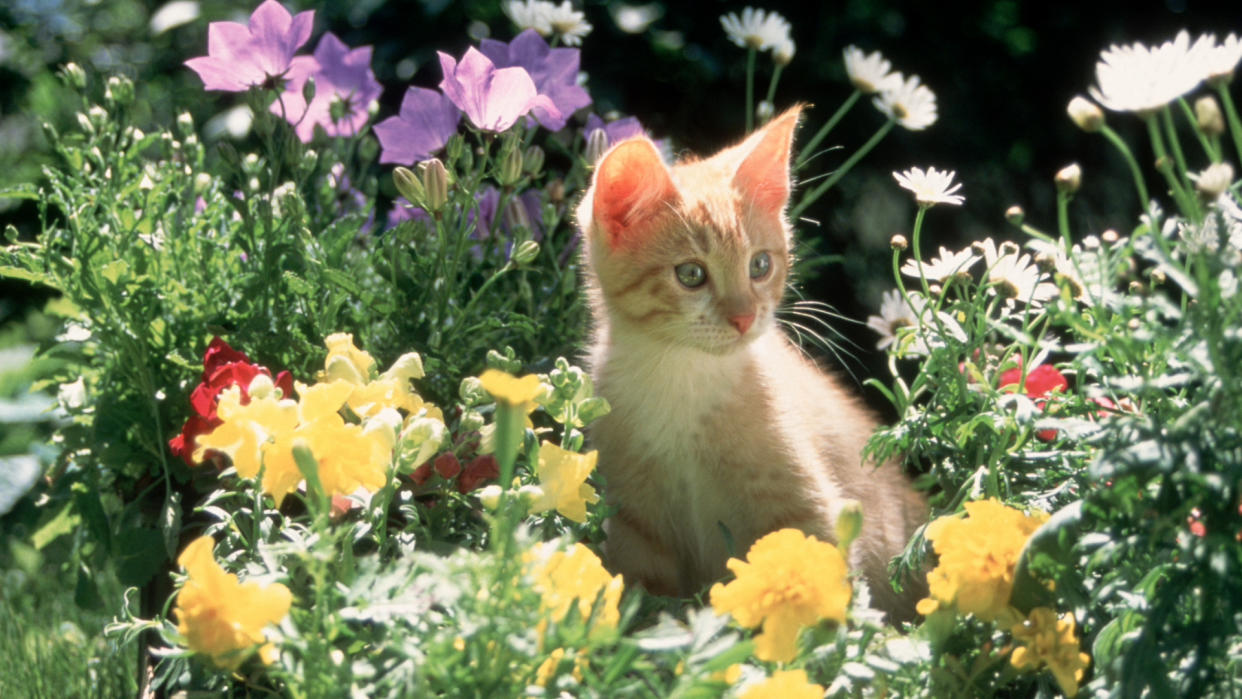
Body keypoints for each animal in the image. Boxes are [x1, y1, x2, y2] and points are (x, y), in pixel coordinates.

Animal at [576, 105, 929, 618]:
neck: (682, 377)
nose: (745, 318)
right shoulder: (634, 522)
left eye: (760, 265)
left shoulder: (806, 509)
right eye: (691, 274)